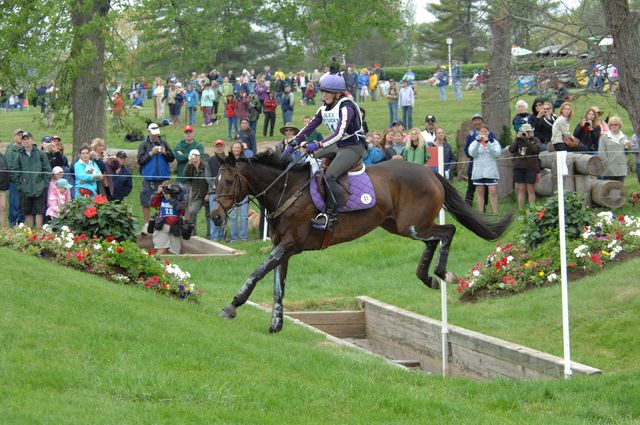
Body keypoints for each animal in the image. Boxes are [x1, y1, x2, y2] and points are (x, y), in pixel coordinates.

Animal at [212, 151, 512, 332]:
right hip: (399, 226)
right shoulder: (282, 247)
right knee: (432, 240)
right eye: (215, 181)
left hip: (411, 225)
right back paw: (427, 277)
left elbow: (258, 272)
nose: (215, 216)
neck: (288, 191)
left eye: (228, 181)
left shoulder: (290, 244)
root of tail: (429, 172)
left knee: (447, 232)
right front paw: (276, 323)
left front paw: (232, 305)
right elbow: (277, 284)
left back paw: (441, 273)